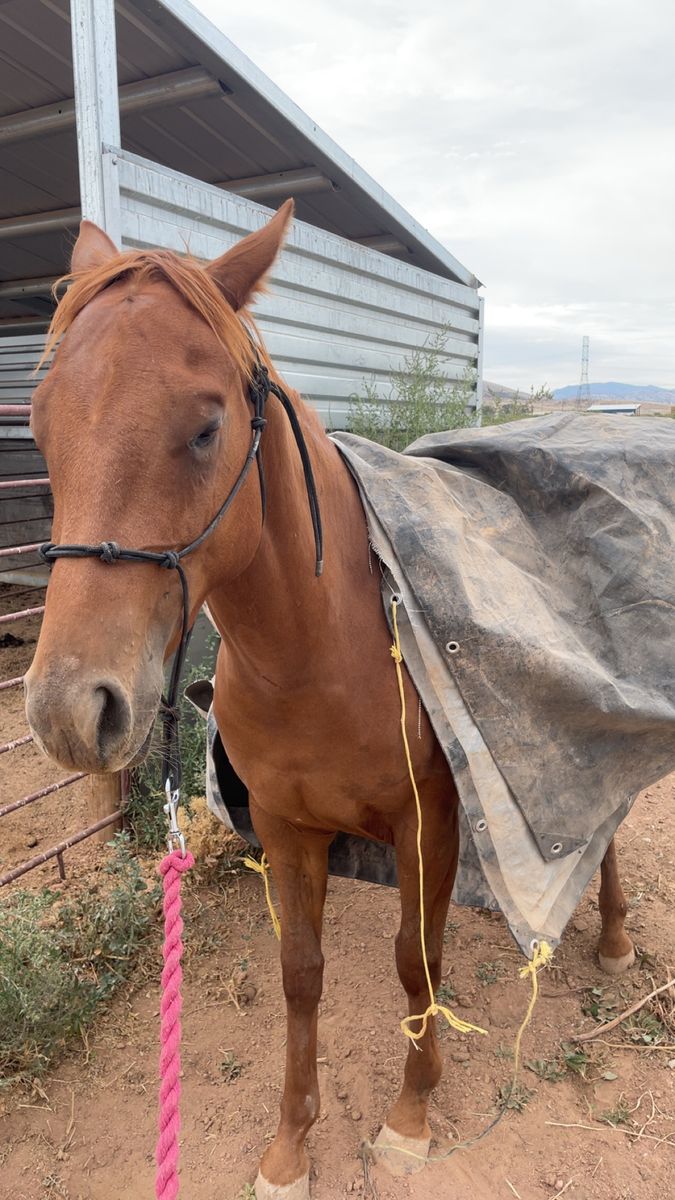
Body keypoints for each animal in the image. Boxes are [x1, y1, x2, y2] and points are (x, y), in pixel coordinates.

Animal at [24, 202, 635, 1198]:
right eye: (40, 427)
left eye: (206, 428)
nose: (70, 711)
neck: (322, 658)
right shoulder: (286, 826)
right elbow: (301, 973)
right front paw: (289, 1146)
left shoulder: (428, 819)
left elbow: (413, 960)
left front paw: (412, 1113)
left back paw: (615, 940)